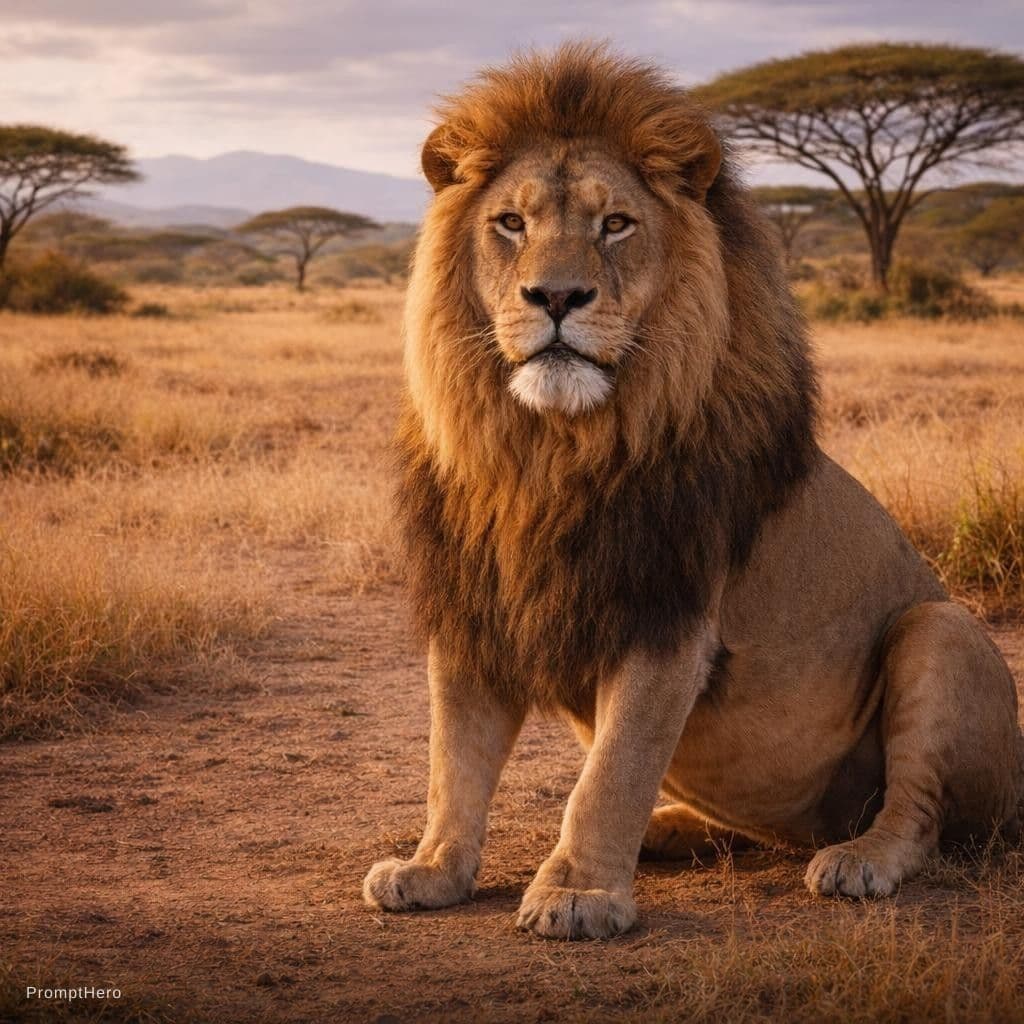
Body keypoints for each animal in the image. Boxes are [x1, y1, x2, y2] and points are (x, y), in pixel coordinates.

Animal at [363, 43, 1023, 940]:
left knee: (917, 816)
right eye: (511, 224)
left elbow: (612, 773)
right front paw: (432, 869)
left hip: (941, 628)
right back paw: (671, 831)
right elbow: (452, 762)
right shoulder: (475, 606)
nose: (557, 297)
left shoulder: (667, 616)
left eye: (615, 224)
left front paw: (578, 893)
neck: (546, 452)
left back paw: (857, 860)